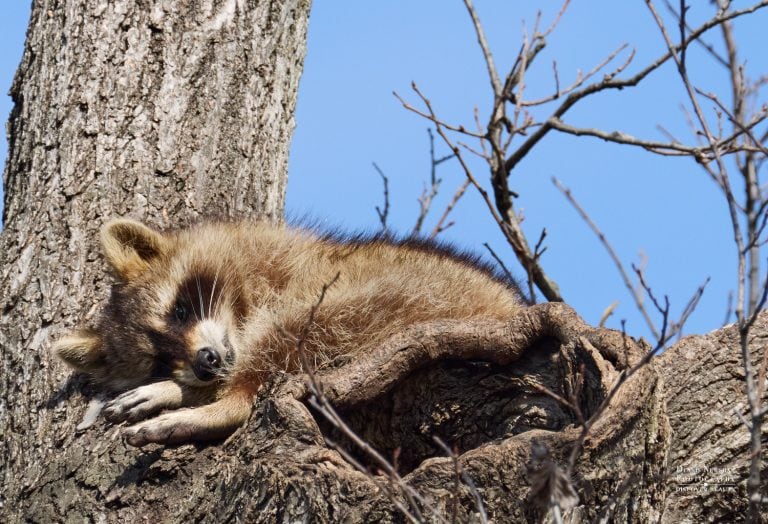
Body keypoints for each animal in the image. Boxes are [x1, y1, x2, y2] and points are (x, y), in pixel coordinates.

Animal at [54, 218, 522, 446]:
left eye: (180, 311)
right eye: (159, 359)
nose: (205, 363)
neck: (238, 307)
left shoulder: (285, 263)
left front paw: (191, 391)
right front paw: (178, 385)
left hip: (405, 295)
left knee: (284, 333)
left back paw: (217, 406)